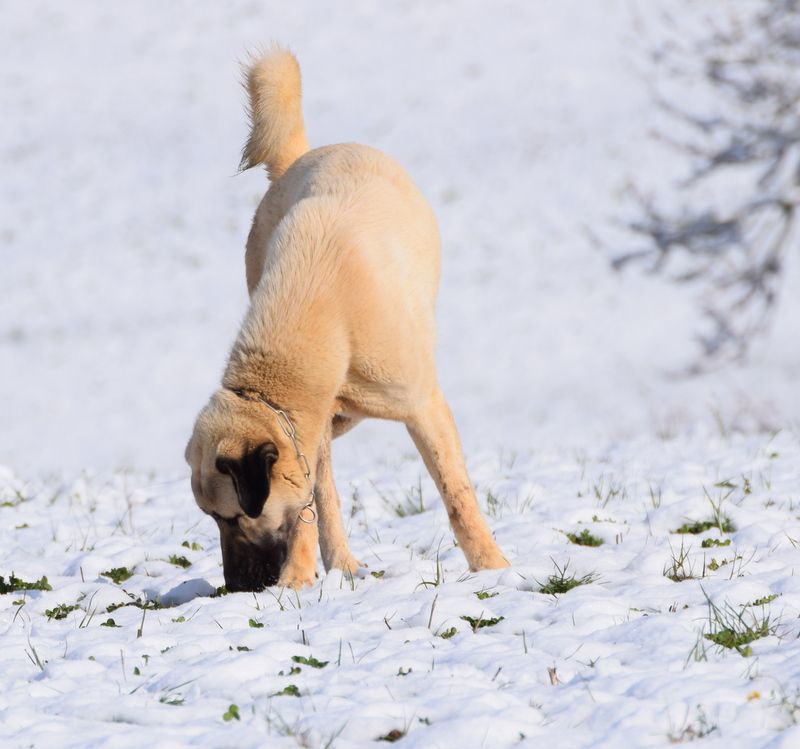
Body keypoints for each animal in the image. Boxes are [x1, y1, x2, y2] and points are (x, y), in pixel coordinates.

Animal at [185, 46, 510, 592]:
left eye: (233, 516)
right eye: (212, 518)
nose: (236, 588)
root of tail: (301, 156)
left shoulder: (423, 405)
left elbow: (457, 494)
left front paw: (493, 567)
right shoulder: (307, 429)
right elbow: (308, 506)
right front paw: (298, 579)